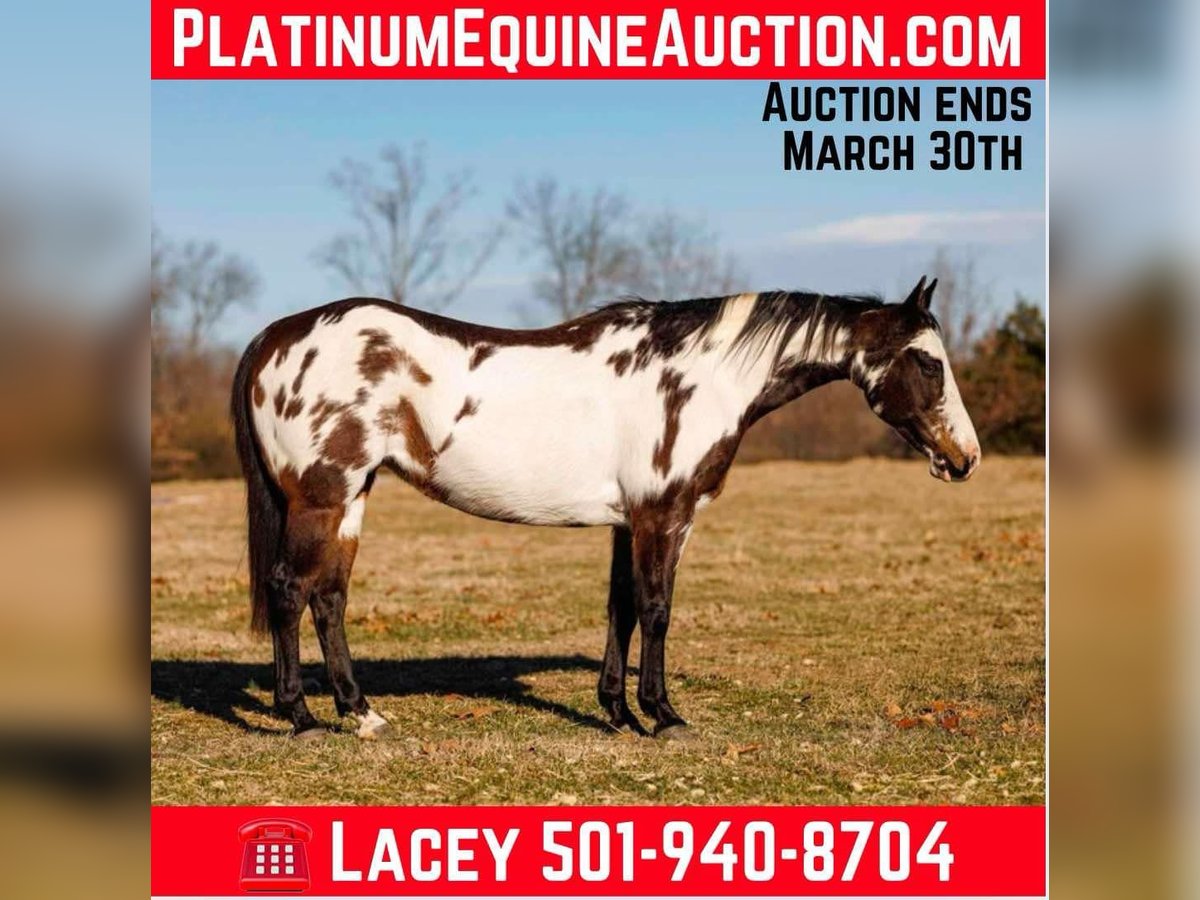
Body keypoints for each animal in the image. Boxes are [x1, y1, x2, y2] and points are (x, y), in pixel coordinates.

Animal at [231, 276, 979, 740]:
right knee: (291, 590)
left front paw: (618, 712)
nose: (965, 457)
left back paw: (363, 714)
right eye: (927, 362)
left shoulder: (628, 521)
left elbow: (620, 608)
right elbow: (657, 609)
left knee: (329, 598)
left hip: (350, 500)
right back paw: (301, 717)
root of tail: (276, 336)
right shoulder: (665, 516)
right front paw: (664, 715)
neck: (702, 376)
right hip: (321, 498)